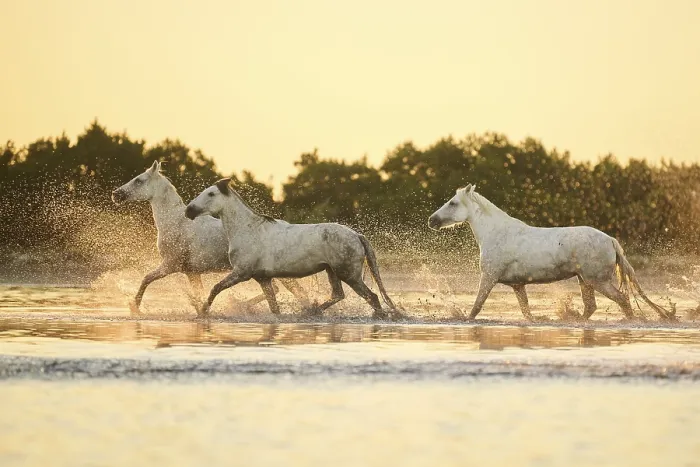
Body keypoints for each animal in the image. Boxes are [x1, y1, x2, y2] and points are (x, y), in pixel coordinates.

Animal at [111, 161, 310, 314]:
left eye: (139, 180)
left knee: (295, 292)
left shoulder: (170, 265)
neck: (176, 223)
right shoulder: (191, 272)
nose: (115, 194)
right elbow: (199, 295)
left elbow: (146, 278)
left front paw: (134, 306)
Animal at [184, 178, 401, 319]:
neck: (248, 230)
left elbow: (215, 288)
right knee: (338, 295)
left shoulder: (241, 273)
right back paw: (311, 311)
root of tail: (357, 235)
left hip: (349, 274)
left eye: (211, 193)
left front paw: (202, 312)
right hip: (332, 271)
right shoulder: (263, 279)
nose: (189, 210)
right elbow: (274, 308)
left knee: (372, 297)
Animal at [428, 184, 674, 322]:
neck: (496, 233)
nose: (432, 220)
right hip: (585, 280)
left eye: (453, 203)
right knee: (591, 307)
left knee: (622, 299)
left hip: (597, 280)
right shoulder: (518, 285)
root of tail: (611, 241)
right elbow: (526, 311)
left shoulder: (488, 277)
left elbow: (476, 307)